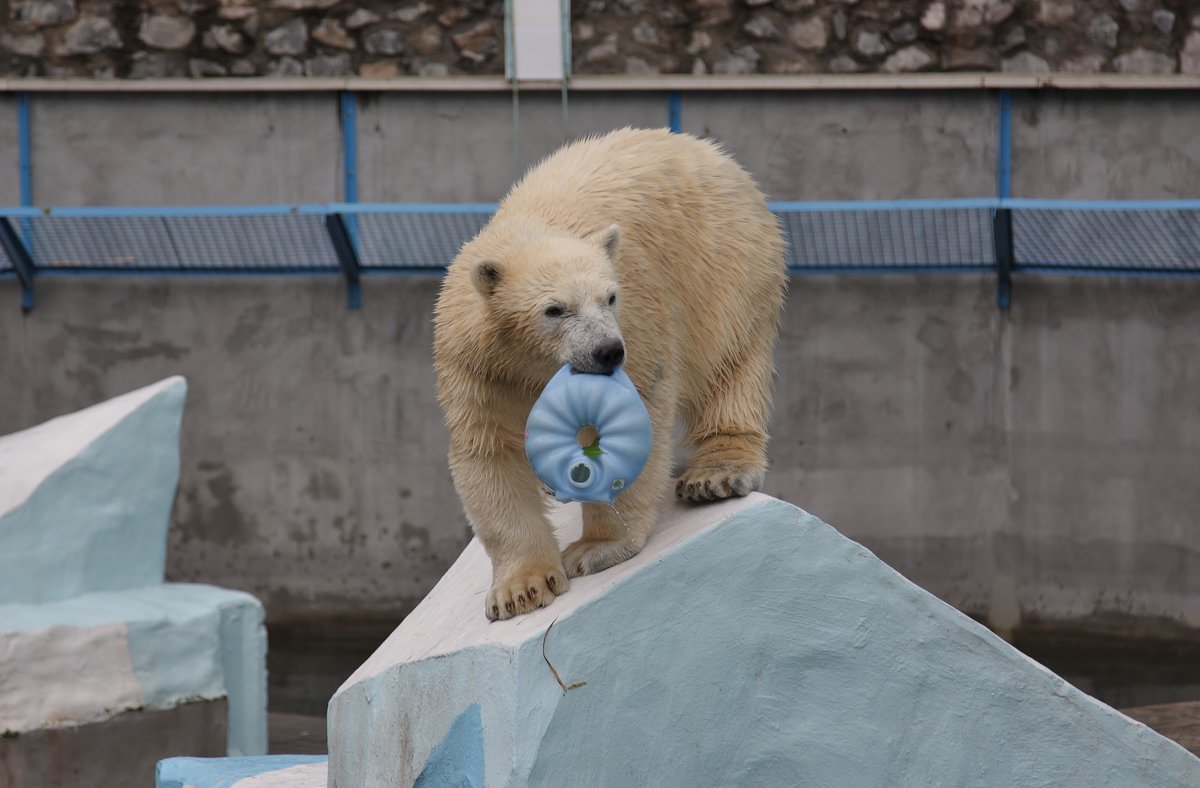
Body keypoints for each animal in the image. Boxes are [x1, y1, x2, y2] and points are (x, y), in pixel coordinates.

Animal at [434, 127, 787, 618]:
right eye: (554, 309)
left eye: (610, 297)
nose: (607, 352)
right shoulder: (479, 366)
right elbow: (489, 451)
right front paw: (520, 590)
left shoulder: (640, 322)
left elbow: (630, 422)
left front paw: (595, 549)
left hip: (723, 267)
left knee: (728, 361)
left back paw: (716, 475)